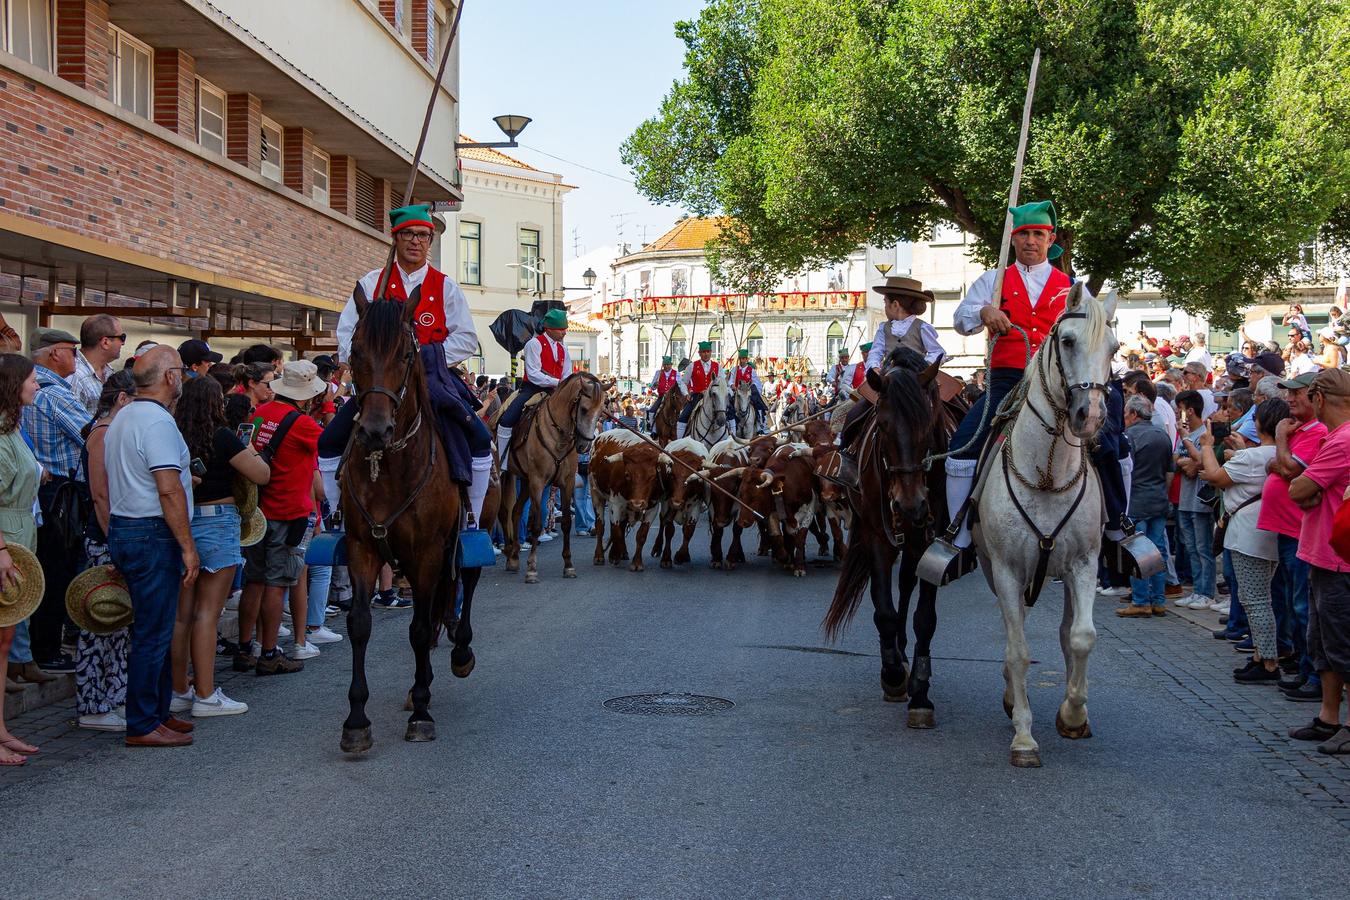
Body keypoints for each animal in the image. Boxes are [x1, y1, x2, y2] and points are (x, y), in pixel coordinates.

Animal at [336, 294, 464, 755]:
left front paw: (422, 713)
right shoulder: (361, 547)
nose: (375, 430)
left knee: (462, 590)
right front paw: (356, 721)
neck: (389, 465)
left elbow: (421, 627)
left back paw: (458, 656)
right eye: (355, 352)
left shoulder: (427, 553)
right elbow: (359, 624)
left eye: (407, 355)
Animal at [499, 372, 604, 585]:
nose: (584, 447)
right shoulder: (538, 482)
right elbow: (537, 523)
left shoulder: (566, 482)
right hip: (504, 476)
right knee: (504, 512)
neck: (558, 436)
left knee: (515, 511)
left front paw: (568, 565)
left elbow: (566, 522)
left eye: (600, 413)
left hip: (524, 481)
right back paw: (509, 553)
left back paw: (514, 556)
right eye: (583, 409)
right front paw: (532, 568)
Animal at [594, 429, 672, 569]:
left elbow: (641, 535)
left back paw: (623, 553)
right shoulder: (615, 504)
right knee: (600, 525)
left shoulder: (652, 507)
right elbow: (617, 531)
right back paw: (599, 556)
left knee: (622, 524)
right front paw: (614, 556)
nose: (637, 504)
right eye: (627, 475)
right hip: (596, 493)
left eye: (653, 477)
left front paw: (636, 563)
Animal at [820, 348, 950, 734]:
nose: (910, 505)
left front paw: (920, 693)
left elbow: (924, 617)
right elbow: (884, 611)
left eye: (927, 424)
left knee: (906, 584)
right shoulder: (877, 537)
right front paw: (892, 674)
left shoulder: (931, 542)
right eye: (883, 426)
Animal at [972, 282, 1117, 766]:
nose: (1090, 416)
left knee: (1066, 631)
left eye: (1114, 348)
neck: (1048, 473)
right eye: (1067, 342)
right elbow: (1018, 651)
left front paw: (1072, 714)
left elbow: (1081, 637)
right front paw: (1024, 735)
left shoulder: (1085, 564)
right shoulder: (1006, 570)